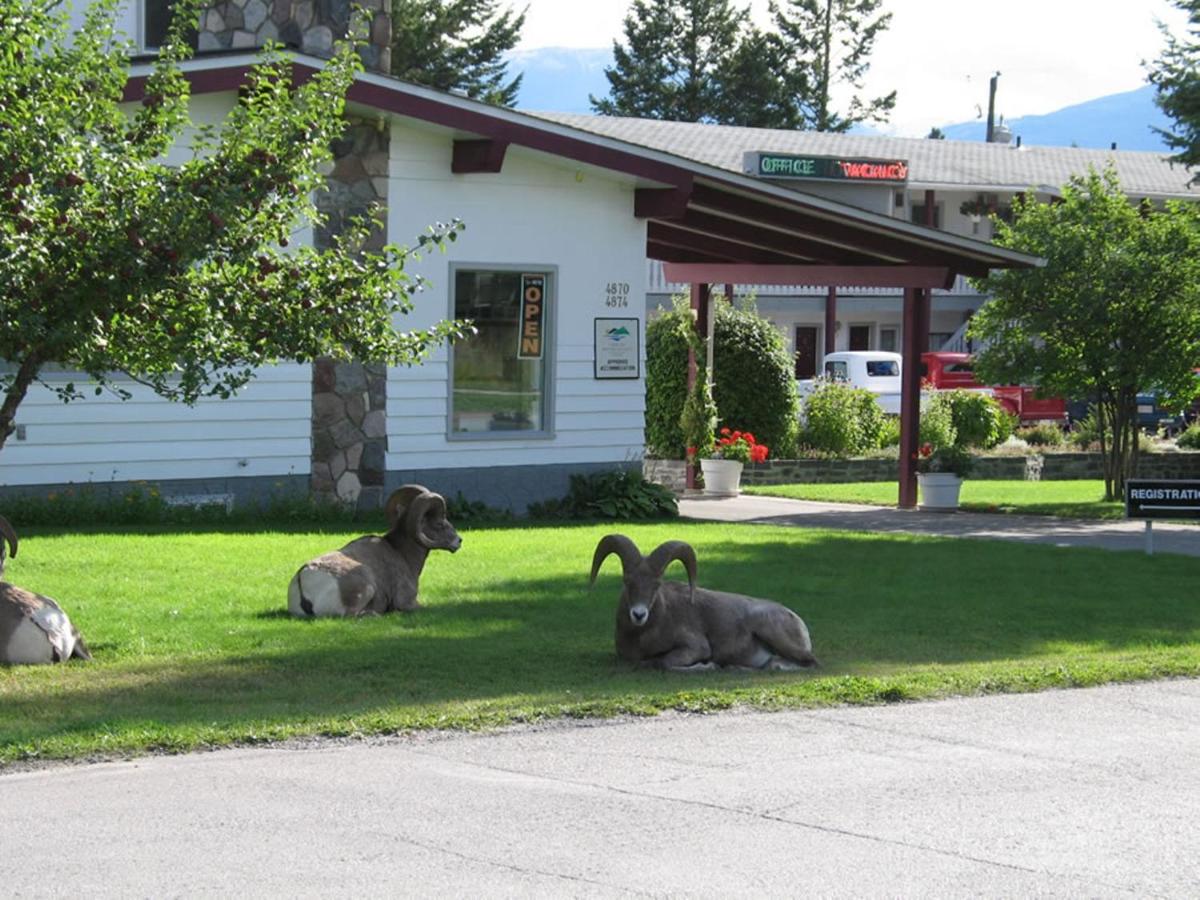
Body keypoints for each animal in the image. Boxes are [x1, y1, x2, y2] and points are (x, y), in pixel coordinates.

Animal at [288, 487, 460, 619]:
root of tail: (303, 580)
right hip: (367, 587)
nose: (459, 541)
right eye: (439, 523)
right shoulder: (407, 601)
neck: (401, 553)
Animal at [588, 535, 816, 672]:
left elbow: (663, 662)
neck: (642, 636)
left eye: (656, 584)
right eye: (627, 581)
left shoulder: (696, 647)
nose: (638, 615)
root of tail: (797, 621)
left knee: (809, 662)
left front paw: (707, 666)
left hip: (769, 628)